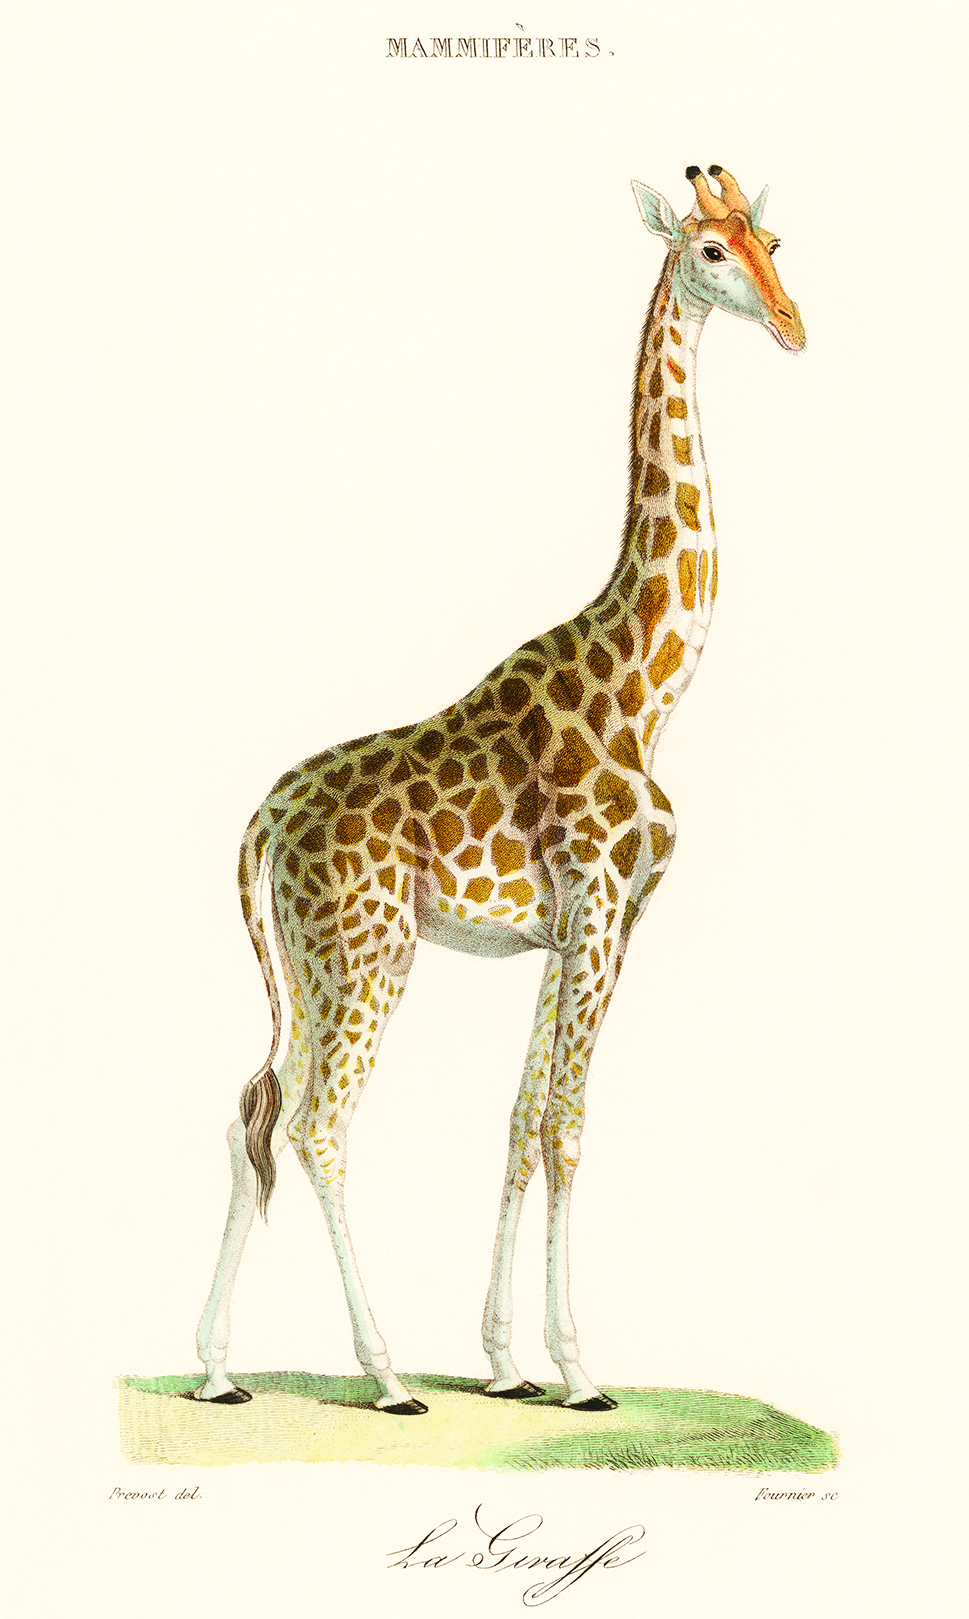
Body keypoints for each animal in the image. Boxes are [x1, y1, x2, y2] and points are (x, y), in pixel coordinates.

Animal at [194, 165, 804, 1413]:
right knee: (320, 1125)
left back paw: (218, 1369)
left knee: (254, 1114)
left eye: (774, 241)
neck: (646, 689)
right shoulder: (605, 910)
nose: (792, 324)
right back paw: (384, 1373)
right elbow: (566, 1122)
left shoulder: (573, 928)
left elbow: (521, 1118)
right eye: (710, 251)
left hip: (311, 956)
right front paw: (578, 1369)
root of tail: (265, 818)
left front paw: (510, 1359)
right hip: (373, 952)